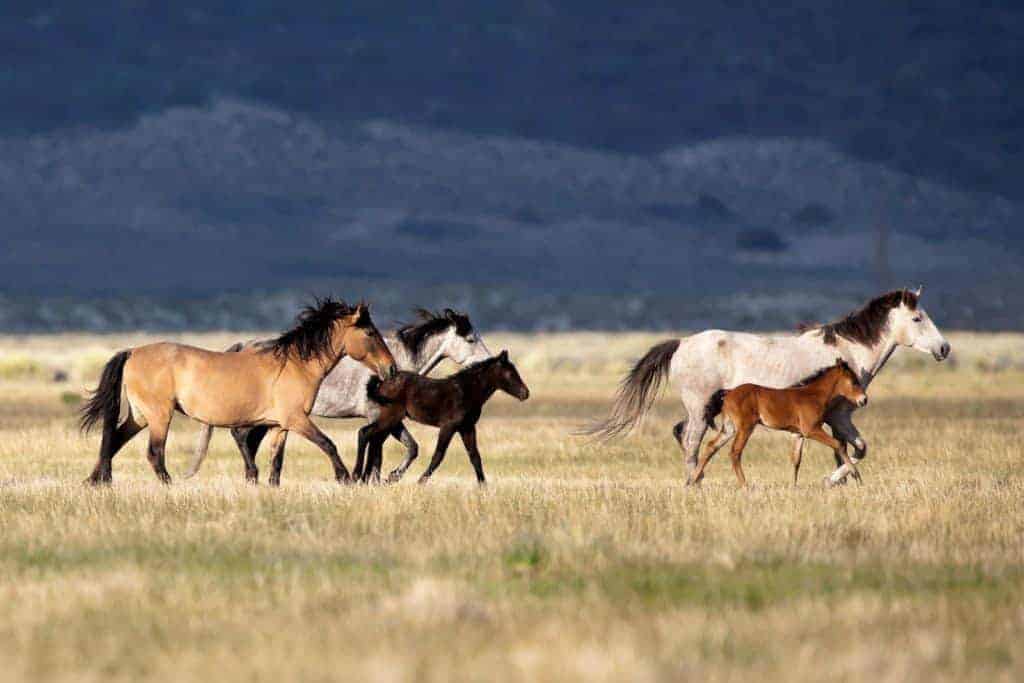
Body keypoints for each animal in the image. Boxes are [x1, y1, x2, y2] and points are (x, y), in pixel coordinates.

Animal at [79, 298, 397, 486]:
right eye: (370, 333)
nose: (391, 368)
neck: (295, 365)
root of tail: (132, 352)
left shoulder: (279, 425)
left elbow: (276, 461)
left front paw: (272, 487)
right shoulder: (296, 420)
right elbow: (328, 443)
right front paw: (345, 478)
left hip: (140, 415)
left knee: (114, 439)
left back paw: (96, 480)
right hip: (159, 416)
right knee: (154, 452)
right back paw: (168, 485)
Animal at [184, 308, 492, 483]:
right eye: (470, 339)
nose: (489, 362)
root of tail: (241, 345)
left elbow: (411, 448)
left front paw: (387, 478)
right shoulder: (378, 416)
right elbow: (388, 450)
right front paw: (376, 478)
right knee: (241, 436)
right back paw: (254, 476)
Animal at [358, 350, 530, 486]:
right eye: (510, 373)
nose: (525, 393)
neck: (467, 391)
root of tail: (381, 385)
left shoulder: (467, 427)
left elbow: (475, 456)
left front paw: (483, 486)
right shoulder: (448, 426)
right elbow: (438, 455)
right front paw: (420, 482)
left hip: (392, 422)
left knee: (375, 441)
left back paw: (375, 478)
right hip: (390, 418)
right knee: (365, 433)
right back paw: (358, 476)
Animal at [690, 360, 868, 487]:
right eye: (853, 381)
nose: (864, 400)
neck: (814, 395)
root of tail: (728, 393)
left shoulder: (798, 434)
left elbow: (796, 459)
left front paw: (793, 486)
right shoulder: (811, 430)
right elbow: (839, 444)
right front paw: (857, 476)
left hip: (729, 428)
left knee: (711, 446)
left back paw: (691, 482)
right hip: (745, 427)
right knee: (735, 452)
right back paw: (744, 485)